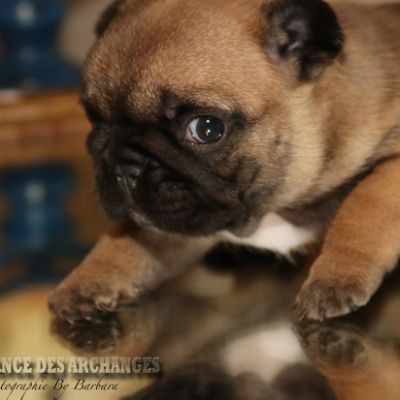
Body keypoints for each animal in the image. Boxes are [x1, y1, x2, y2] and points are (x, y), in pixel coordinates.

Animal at [49, 0, 400, 322]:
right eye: (93, 118)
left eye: (206, 129)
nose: (125, 165)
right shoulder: (172, 218)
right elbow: (129, 240)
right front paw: (88, 279)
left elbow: (363, 206)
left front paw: (335, 278)